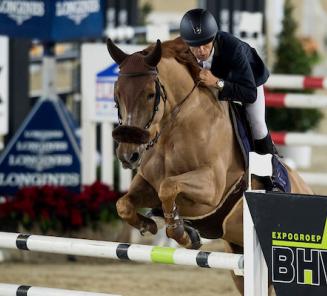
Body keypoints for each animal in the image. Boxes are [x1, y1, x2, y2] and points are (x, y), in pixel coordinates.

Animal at [106, 37, 314, 294]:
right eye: (117, 94)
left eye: (150, 94)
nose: (128, 155)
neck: (174, 128)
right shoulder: (146, 183)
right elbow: (124, 204)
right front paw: (150, 225)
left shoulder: (211, 188)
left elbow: (169, 187)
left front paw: (182, 233)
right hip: (240, 263)